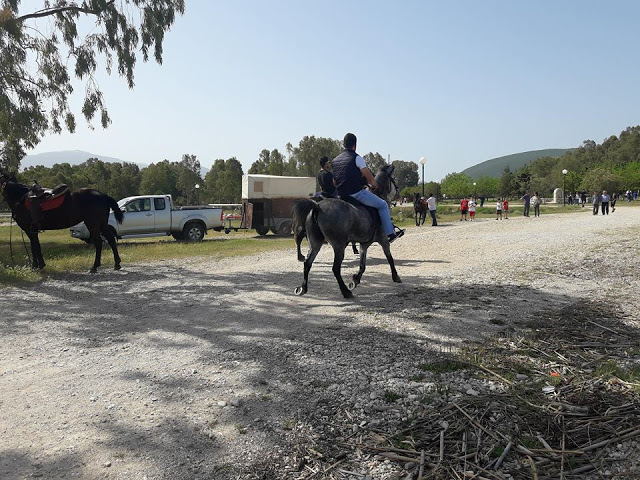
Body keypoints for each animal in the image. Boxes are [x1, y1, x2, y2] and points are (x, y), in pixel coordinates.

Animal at [294, 166, 402, 300]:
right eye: (393, 179)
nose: (398, 194)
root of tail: (317, 207)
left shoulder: (364, 244)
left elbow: (362, 265)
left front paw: (355, 280)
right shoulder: (383, 240)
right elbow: (389, 258)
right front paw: (396, 276)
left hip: (315, 244)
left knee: (307, 263)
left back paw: (303, 287)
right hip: (339, 246)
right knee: (335, 269)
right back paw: (345, 292)